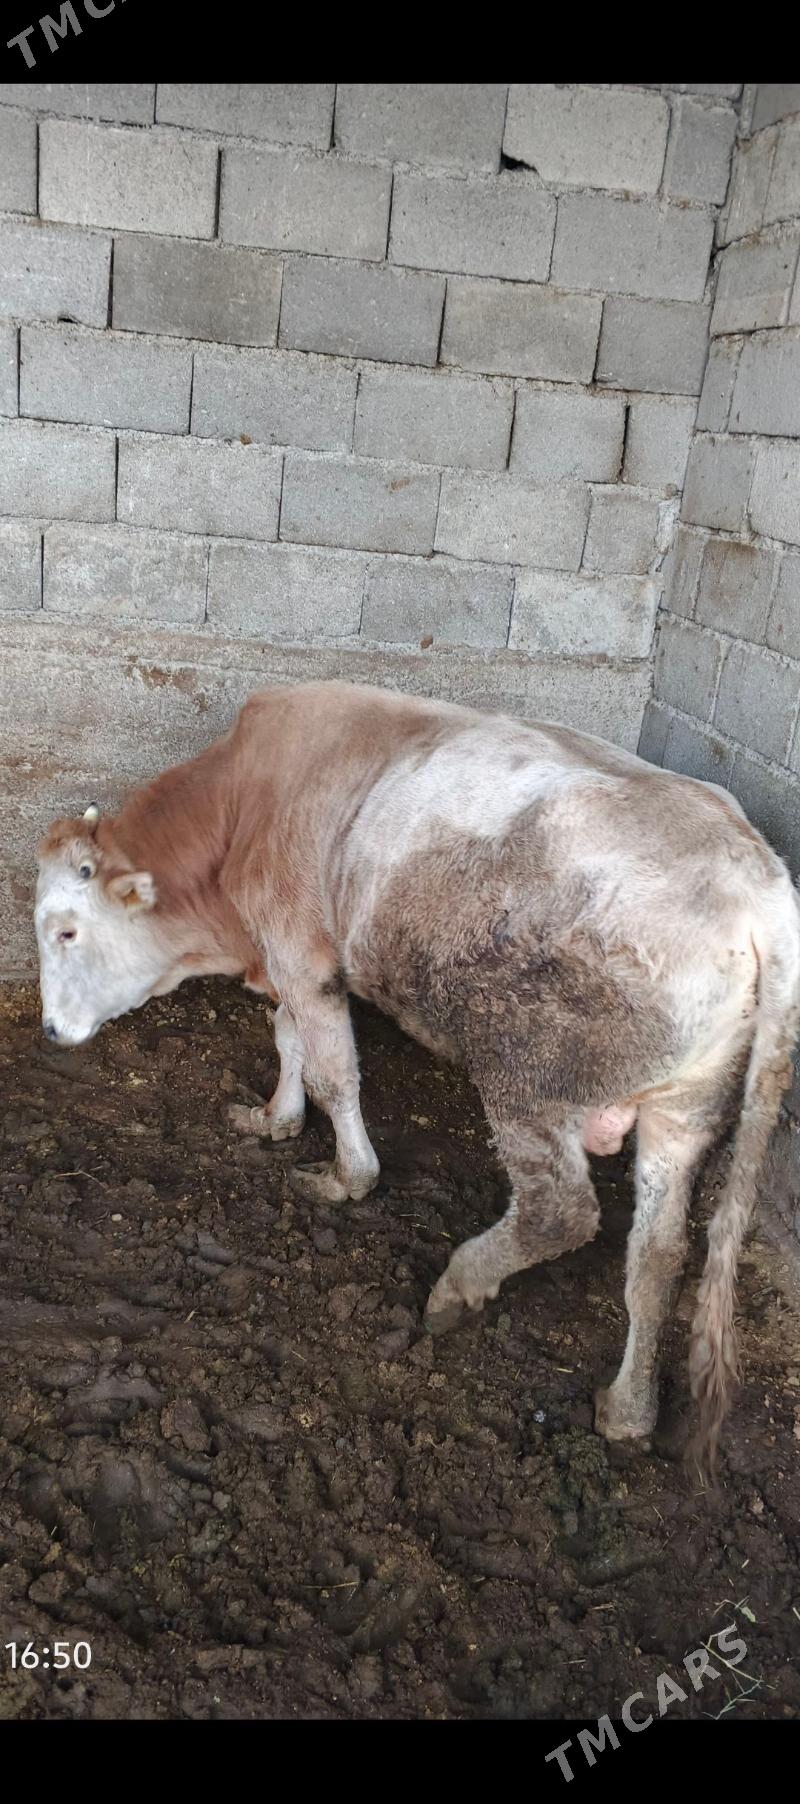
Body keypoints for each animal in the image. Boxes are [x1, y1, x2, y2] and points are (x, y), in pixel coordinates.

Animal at [34, 680, 800, 1473]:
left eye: (65, 930)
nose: (50, 1030)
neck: (242, 803)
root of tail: (758, 885)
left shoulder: (299, 947)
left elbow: (332, 1068)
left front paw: (347, 1176)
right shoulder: (291, 959)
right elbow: (289, 1038)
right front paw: (275, 1119)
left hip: (526, 1075)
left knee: (560, 1211)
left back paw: (459, 1286)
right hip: (686, 1108)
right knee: (658, 1255)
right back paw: (627, 1409)